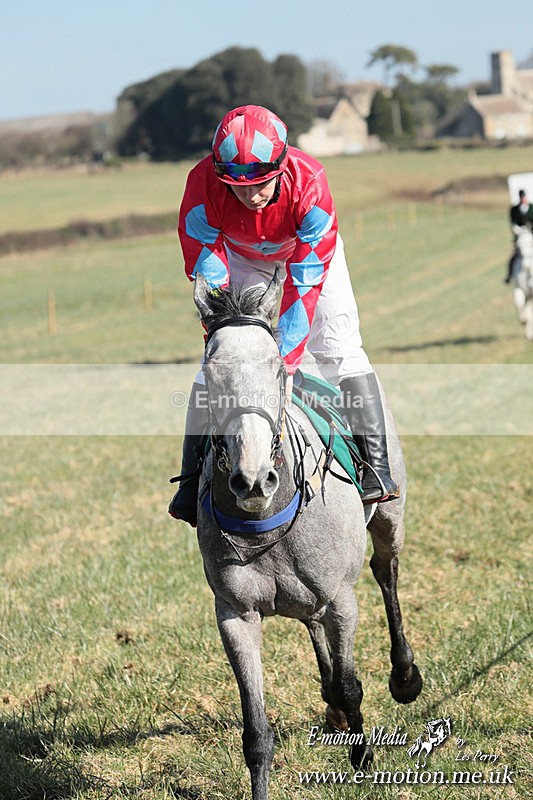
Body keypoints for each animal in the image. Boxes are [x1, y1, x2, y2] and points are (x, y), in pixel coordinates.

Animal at [192, 271, 422, 800]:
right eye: (210, 374)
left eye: (278, 368)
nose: (253, 479)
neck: (268, 524)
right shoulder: (235, 615)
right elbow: (256, 732)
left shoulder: (341, 600)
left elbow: (352, 684)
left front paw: (364, 761)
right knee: (312, 623)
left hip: (389, 518)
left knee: (386, 572)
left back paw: (403, 676)